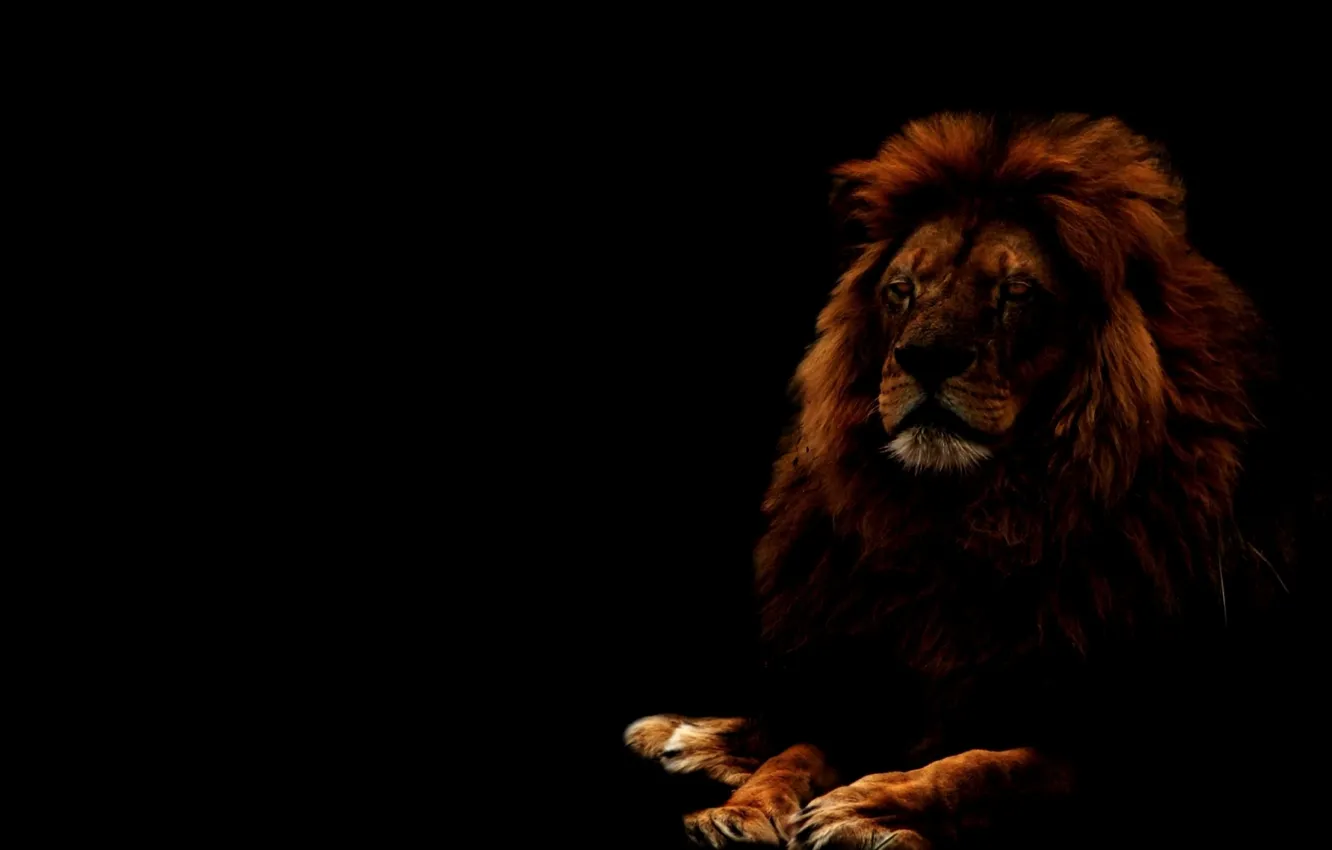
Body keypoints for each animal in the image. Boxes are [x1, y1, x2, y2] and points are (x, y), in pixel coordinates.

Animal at [624, 113, 1319, 848]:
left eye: (1016, 293)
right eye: (901, 289)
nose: (926, 357)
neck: (970, 515)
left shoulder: (1122, 746)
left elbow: (990, 767)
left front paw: (867, 808)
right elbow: (800, 747)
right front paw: (742, 810)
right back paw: (678, 732)